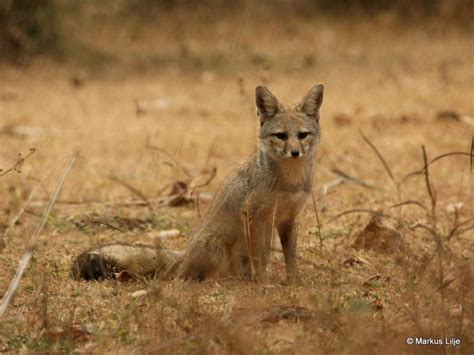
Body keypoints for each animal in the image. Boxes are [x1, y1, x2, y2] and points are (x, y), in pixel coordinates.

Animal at [72, 84, 324, 284]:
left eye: (302, 135)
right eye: (281, 136)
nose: (294, 152)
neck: (289, 181)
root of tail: (184, 254)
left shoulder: (288, 219)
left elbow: (290, 256)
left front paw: (293, 282)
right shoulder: (254, 216)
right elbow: (260, 258)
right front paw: (263, 283)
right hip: (215, 248)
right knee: (182, 277)